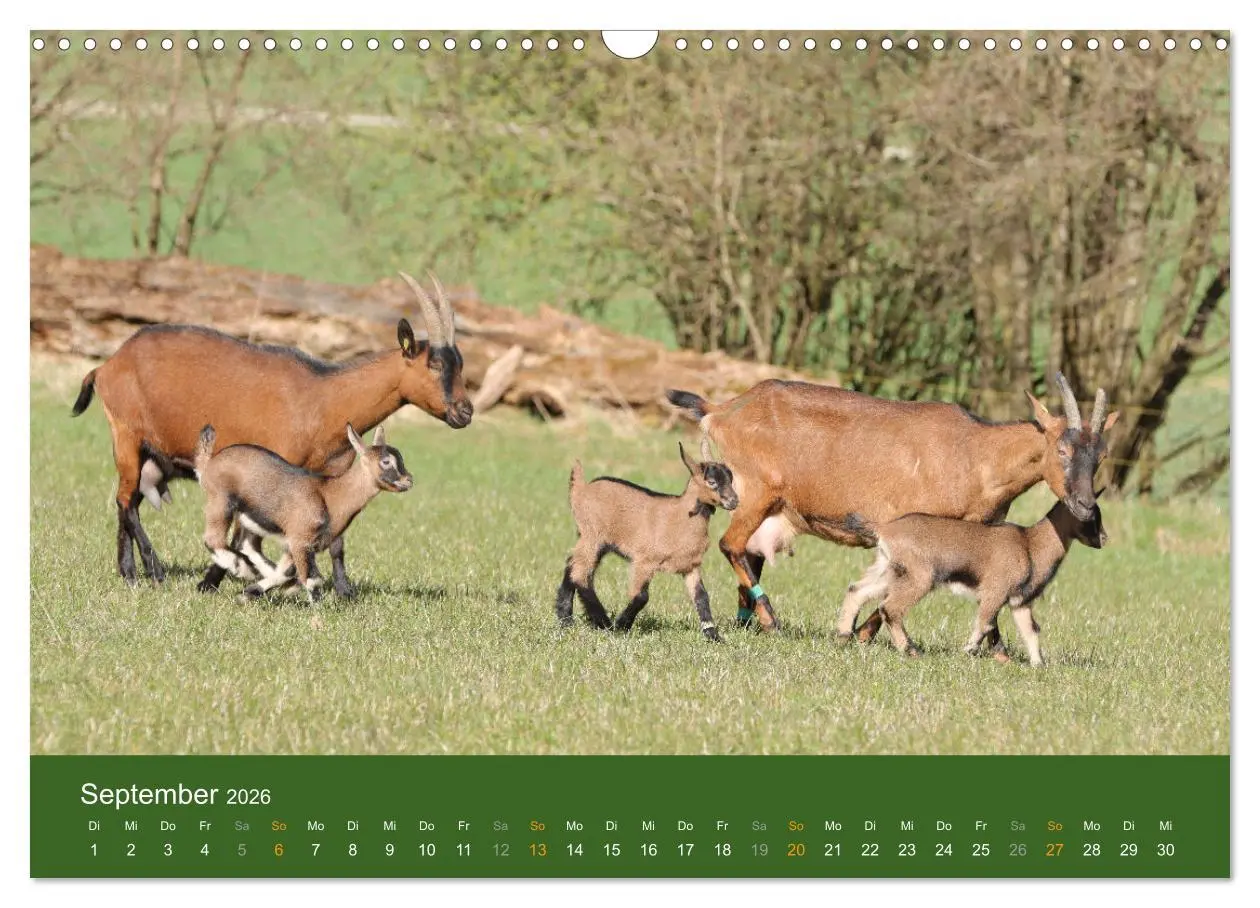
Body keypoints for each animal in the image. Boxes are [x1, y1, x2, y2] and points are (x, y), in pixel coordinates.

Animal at [195, 423, 412, 602]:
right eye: (386, 461)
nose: (408, 480)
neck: (330, 495)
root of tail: (209, 462)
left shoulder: (299, 543)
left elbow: (288, 572)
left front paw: (249, 593)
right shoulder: (300, 539)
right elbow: (311, 579)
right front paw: (320, 613)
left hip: (251, 519)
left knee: (249, 545)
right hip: (220, 502)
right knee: (213, 538)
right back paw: (242, 567)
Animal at [555, 440, 738, 642]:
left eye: (731, 479)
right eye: (711, 482)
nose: (734, 501)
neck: (681, 516)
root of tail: (581, 489)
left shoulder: (691, 565)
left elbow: (702, 596)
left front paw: (713, 635)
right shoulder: (644, 561)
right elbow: (642, 596)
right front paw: (622, 626)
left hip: (594, 541)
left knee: (572, 565)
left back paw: (565, 619)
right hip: (592, 535)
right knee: (580, 573)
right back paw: (603, 622)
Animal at [666, 374, 1118, 635]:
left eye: (1101, 455)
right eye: (1061, 448)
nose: (1084, 504)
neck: (976, 451)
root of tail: (721, 410)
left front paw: (859, 636)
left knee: (749, 552)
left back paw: (750, 624)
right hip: (756, 492)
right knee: (730, 545)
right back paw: (771, 620)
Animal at [839, 498, 1107, 665]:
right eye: (1091, 517)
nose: (1104, 538)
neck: (1029, 543)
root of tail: (885, 529)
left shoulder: (1020, 602)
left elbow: (1030, 630)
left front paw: (1038, 664)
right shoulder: (994, 592)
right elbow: (985, 623)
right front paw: (967, 651)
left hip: (889, 570)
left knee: (857, 590)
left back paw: (842, 636)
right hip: (919, 577)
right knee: (890, 608)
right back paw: (911, 650)